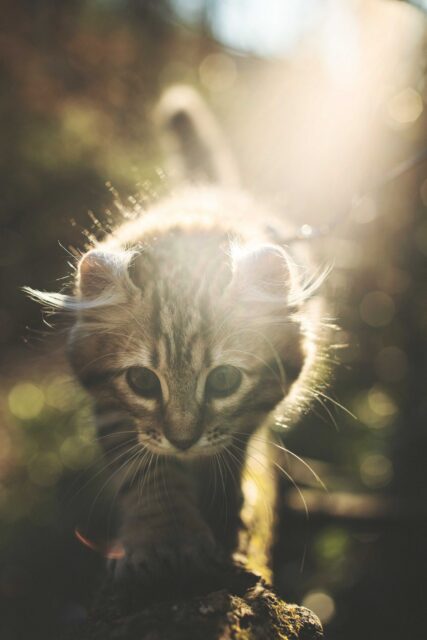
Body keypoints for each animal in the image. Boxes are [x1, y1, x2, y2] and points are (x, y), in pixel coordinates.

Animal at [26, 85, 328, 592]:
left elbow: (228, 451)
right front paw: (161, 539)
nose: (182, 440)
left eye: (224, 380)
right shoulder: (113, 410)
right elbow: (146, 475)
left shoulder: (250, 412)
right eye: (143, 381)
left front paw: (223, 514)